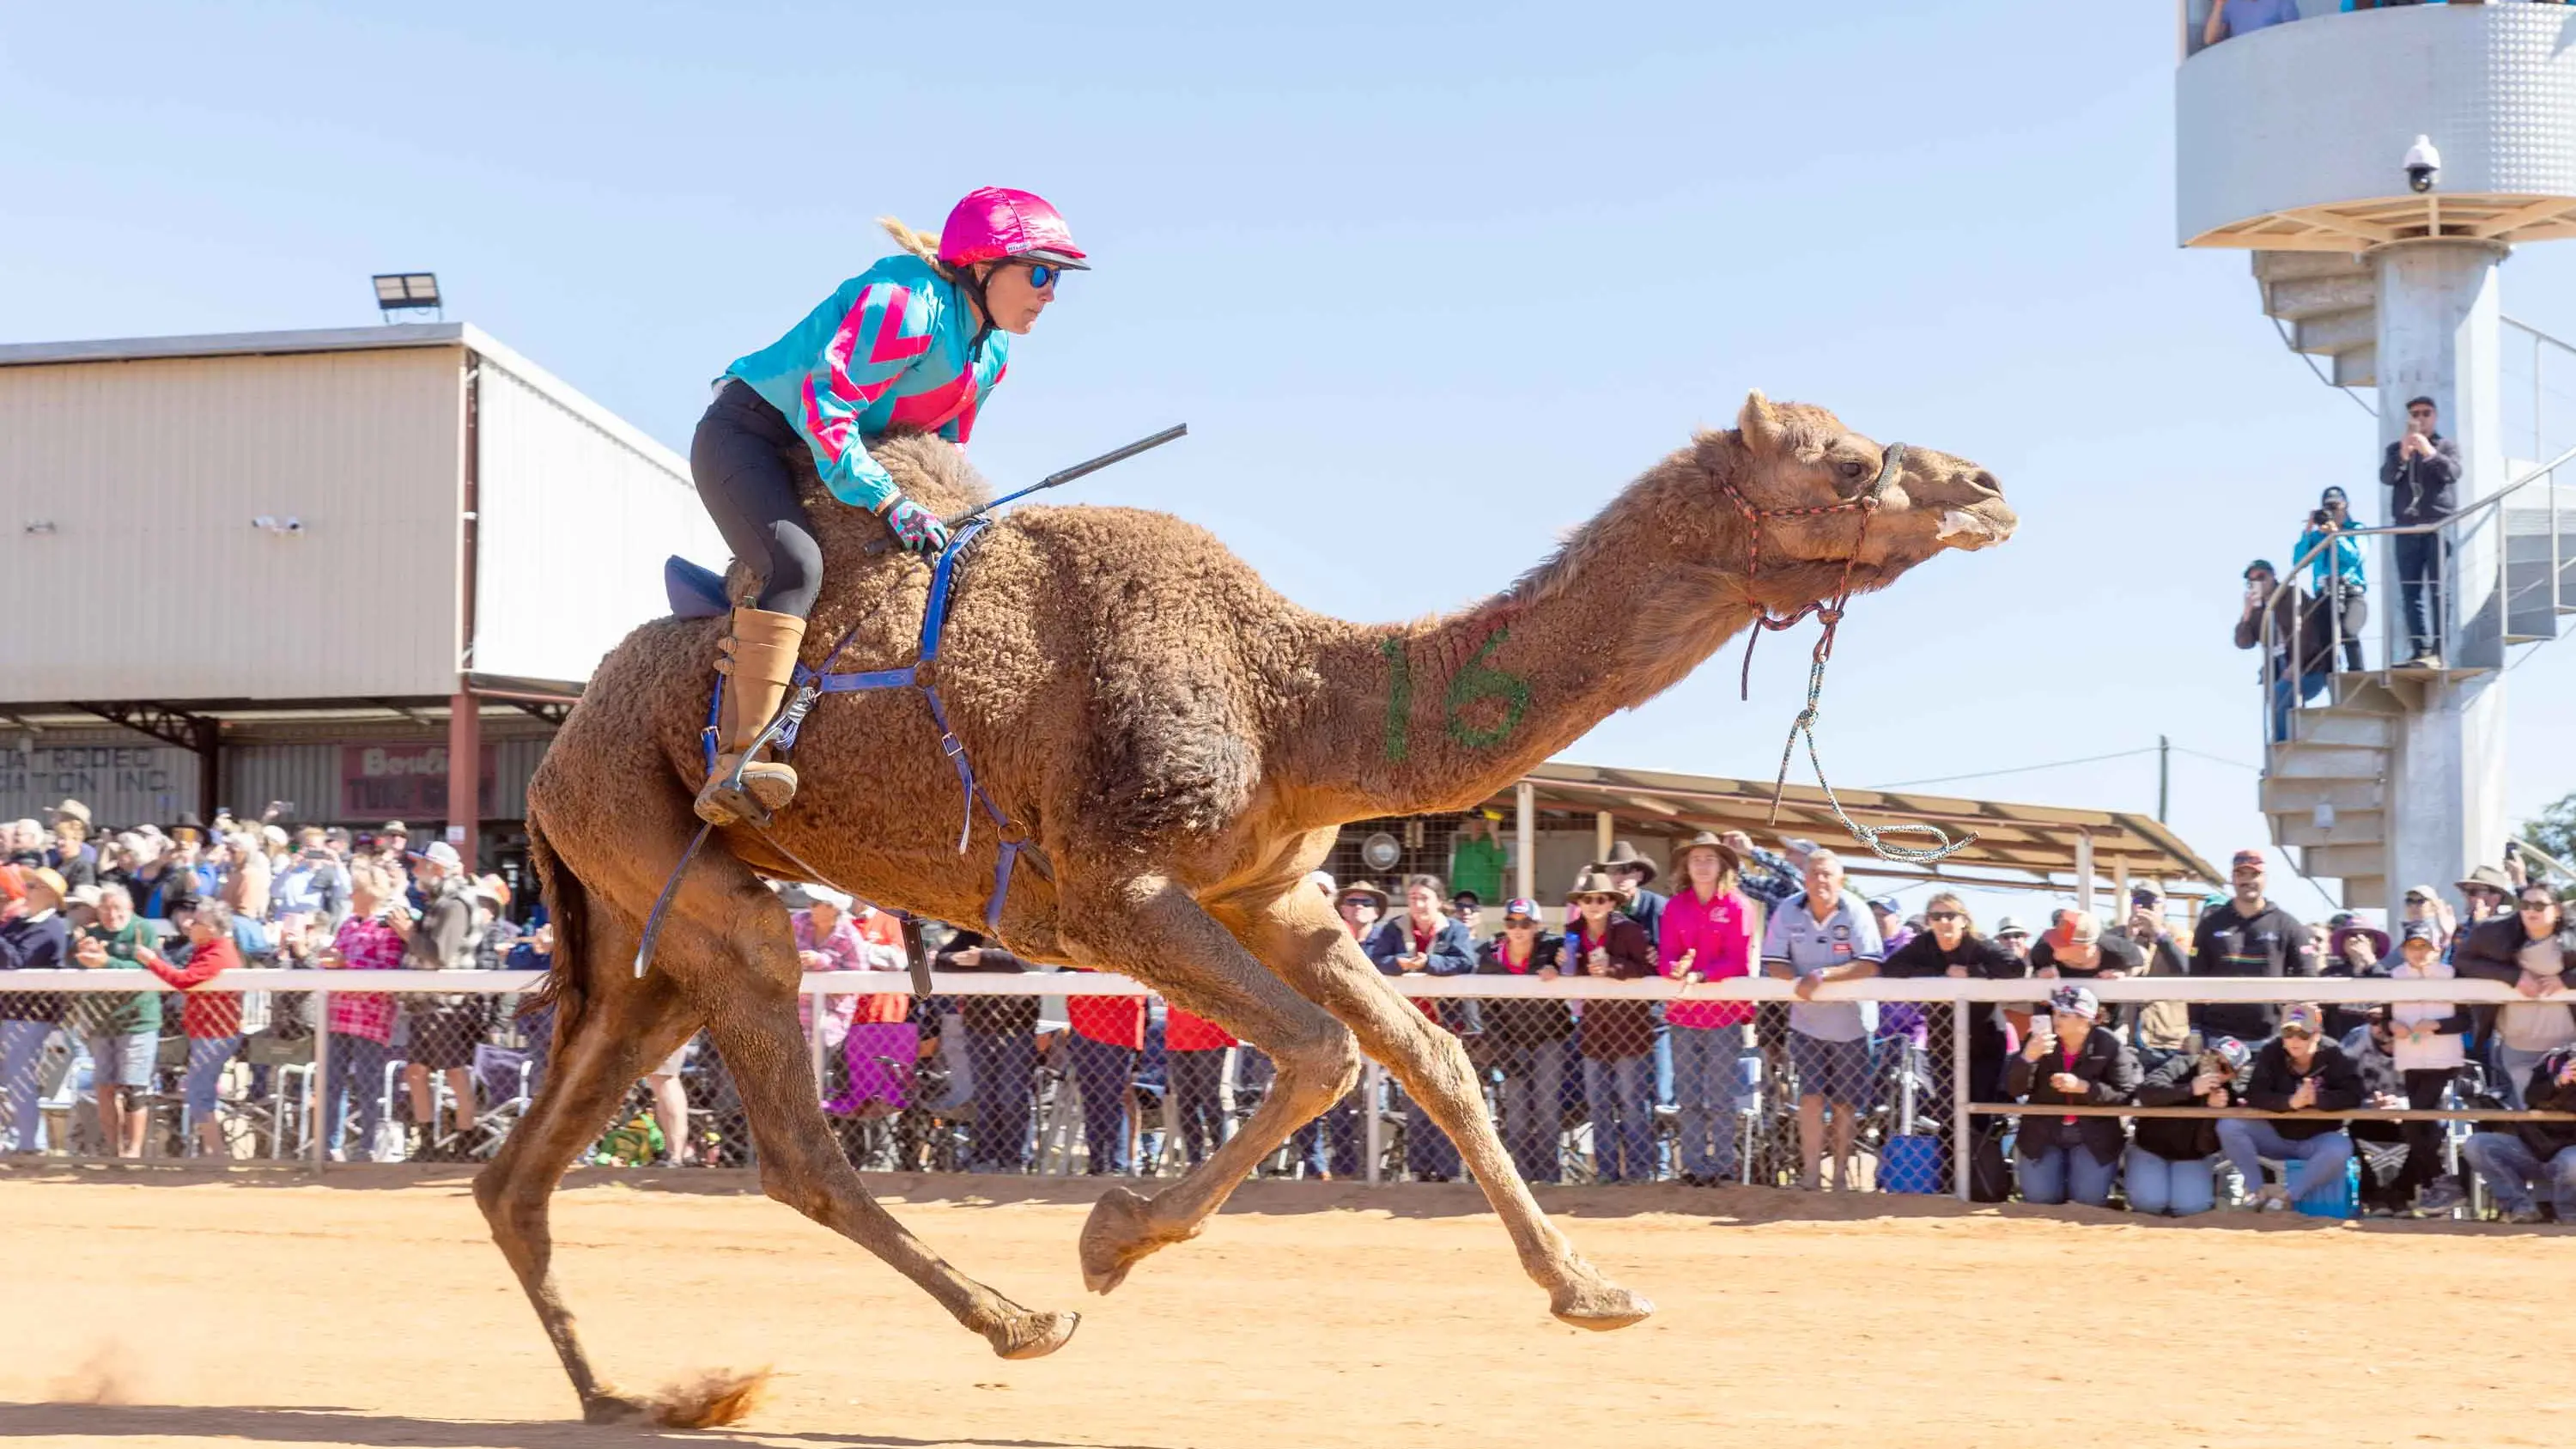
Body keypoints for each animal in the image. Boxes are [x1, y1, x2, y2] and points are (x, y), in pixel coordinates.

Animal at [474, 390, 2015, 1424]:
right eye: (1844, 457)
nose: (1988, 483)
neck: (1297, 698)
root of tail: (551, 749)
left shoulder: (1275, 893)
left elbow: (1434, 1056)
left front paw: (1592, 1288)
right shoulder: (1108, 893)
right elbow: (1327, 1056)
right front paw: (1110, 1233)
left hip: (641, 924)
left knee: (527, 1163)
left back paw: (626, 1393)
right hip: (676, 863)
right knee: (787, 1139)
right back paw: (1016, 1320)